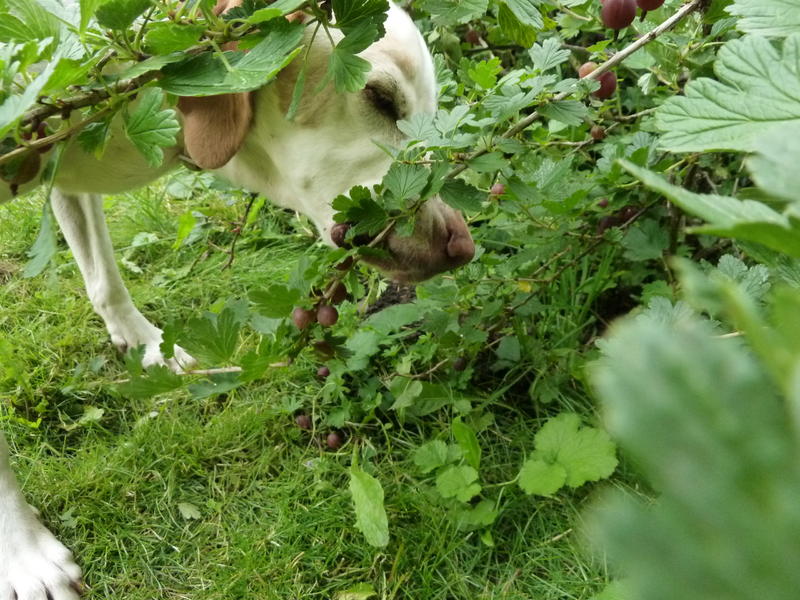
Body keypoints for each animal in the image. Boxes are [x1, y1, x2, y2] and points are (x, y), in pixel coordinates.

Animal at [0, 2, 476, 596]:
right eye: (382, 99)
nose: (464, 247)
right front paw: (22, 554)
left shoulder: (68, 171)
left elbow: (104, 278)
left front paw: (145, 343)